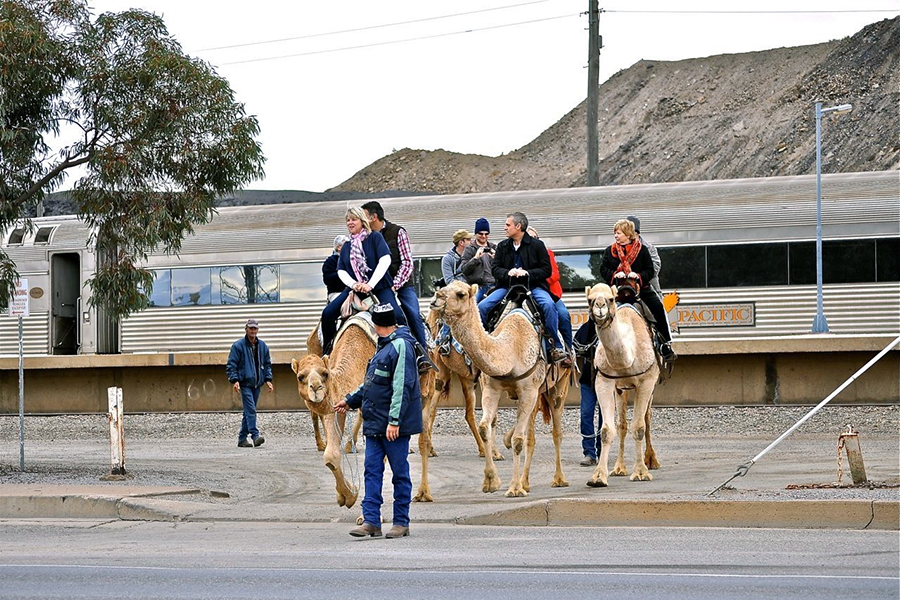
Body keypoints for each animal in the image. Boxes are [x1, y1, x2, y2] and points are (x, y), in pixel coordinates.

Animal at [428, 282, 568, 496]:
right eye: (445, 287)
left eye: (460, 294)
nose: (435, 299)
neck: (511, 350)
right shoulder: (491, 388)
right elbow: (485, 426)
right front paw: (491, 481)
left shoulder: (528, 391)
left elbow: (518, 439)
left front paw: (515, 487)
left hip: (559, 384)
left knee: (555, 431)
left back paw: (558, 479)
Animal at [584, 282, 660, 488]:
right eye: (590, 299)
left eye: (611, 299)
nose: (600, 306)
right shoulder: (604, 381)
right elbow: (607, 430)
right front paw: (598, 477)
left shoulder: (647, 381)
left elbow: (640, 427)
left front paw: (641, 472)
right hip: (621, 389)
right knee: (622, 425)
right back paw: (619, 468)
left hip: (651, 385)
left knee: (647, 418)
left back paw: (652, 461)